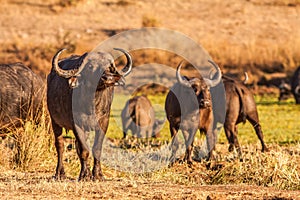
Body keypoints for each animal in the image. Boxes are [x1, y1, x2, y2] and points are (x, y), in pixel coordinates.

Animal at [47, 47, 131, 180]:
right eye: (90, 66)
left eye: (109, 66)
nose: (108, 78)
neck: (91, 104)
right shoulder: (76, 124)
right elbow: (83, 150)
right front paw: (84, 175)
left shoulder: (104, 122)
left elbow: (96, 148)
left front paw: (97, 174)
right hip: (54, 121)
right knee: (60, 145)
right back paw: (60, 173)